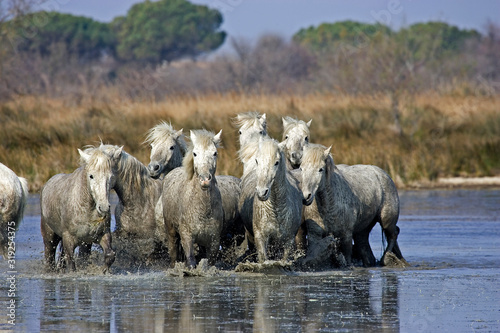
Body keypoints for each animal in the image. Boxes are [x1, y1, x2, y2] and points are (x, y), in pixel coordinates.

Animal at [162, 128, 225, 268]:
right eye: (195, 154)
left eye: (215, 153)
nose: (205, 179)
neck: (203, 209)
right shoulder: (187, 237)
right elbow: (191, 261)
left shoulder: (214, 240)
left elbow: (209, 262)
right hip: (171, 232)